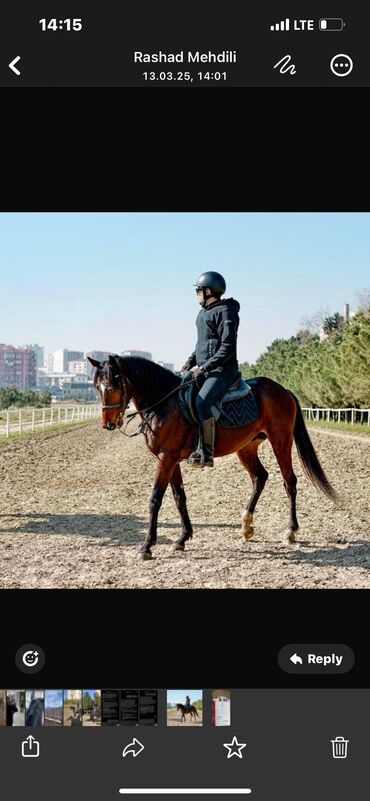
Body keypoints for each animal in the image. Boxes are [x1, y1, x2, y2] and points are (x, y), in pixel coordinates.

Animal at [88, 356, 336, 564]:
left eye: (113, 386)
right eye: (97, 387)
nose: (108, 424)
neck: (164, 404)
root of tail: (283, 390)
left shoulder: (166, 459)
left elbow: (155, 500)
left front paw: (147, 546)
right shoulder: (172, 460)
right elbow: (179, 497)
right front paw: (182, 539)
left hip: (281, 441)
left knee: (289, 482)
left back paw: (290, 531)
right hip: (246, 448)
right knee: (260, 477)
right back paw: (246, 526)